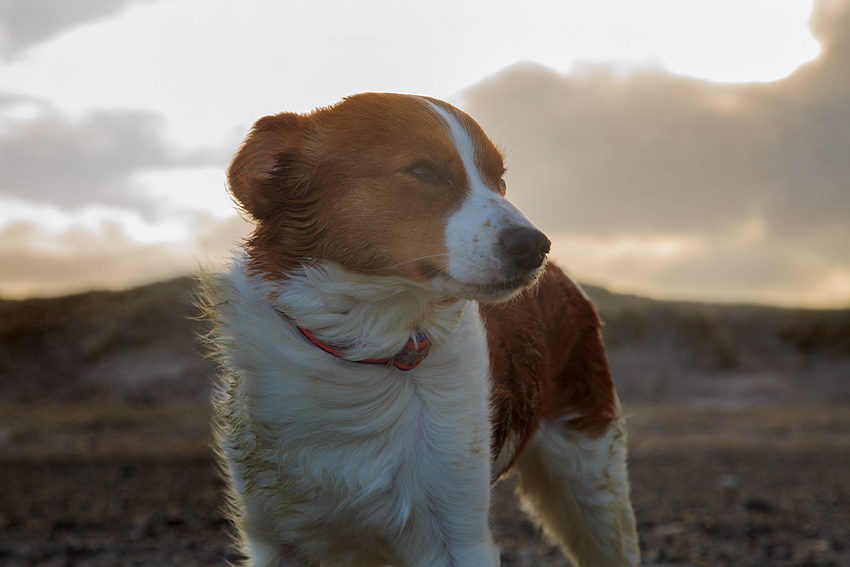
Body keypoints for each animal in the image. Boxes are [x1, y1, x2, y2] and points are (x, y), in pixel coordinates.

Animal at [200, 94, 636, 567]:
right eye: (424, 171)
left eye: (499, 180)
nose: (535, 246)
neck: (369, 350)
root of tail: (564, 276)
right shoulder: (274, 538)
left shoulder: (458, 534)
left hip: (594, 482)